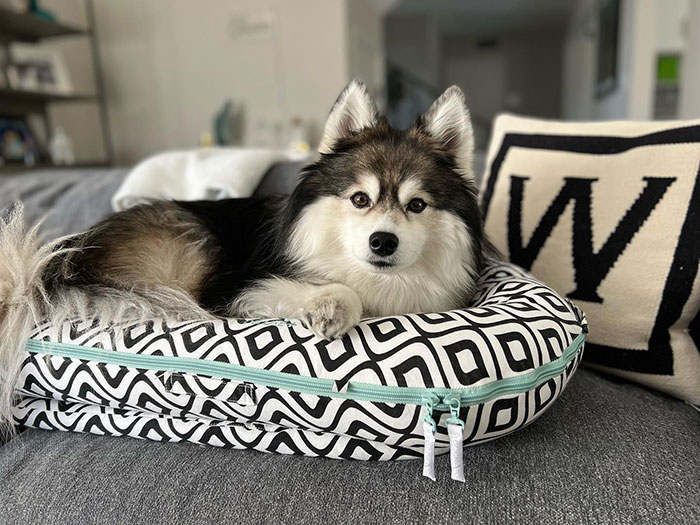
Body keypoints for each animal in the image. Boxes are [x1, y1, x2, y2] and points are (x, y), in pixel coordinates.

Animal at [0, 78, 490, 430]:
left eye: (417, 205)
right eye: (359, 199)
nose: (382, 242)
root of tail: (60, 263)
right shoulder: (241, 288)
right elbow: (314, 290)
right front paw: (331, 304)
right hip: (192, 241)